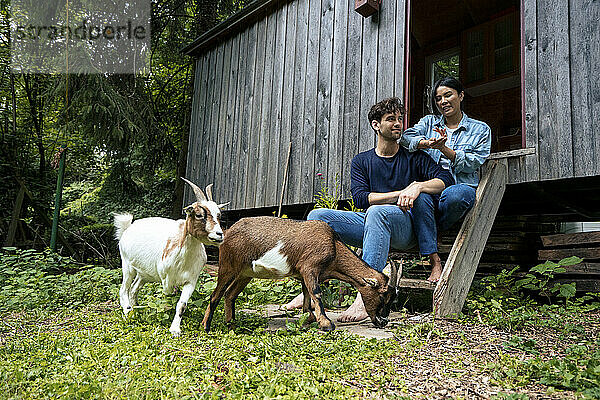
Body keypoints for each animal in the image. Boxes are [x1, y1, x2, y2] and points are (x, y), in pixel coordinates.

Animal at [115, 179, 227, 338]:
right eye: (199, 214)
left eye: (219, 215)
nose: (219, 234)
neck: (184, 258)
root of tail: (127, 228)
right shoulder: (166, 279)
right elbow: (169, 295)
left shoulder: (191, 280)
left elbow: (181, 304)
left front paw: (175, 329)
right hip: (127, 266)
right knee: (124, 289)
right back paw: (128, 313)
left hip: (144, 274)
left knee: (134, 288)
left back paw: (137, 310)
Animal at [203, 217, 398, 332]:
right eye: (383, 296)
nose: (383, 321)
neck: (334, 246)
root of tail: (227, 233)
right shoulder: (310, 267)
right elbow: (317, 294)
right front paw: (326, 323)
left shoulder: (305, 275)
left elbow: (307, 298)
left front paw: (309, 318)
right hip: (228, 266)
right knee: (215, 295)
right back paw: (206, 327)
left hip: (245, 273)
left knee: (230, 295)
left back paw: (232, 324)